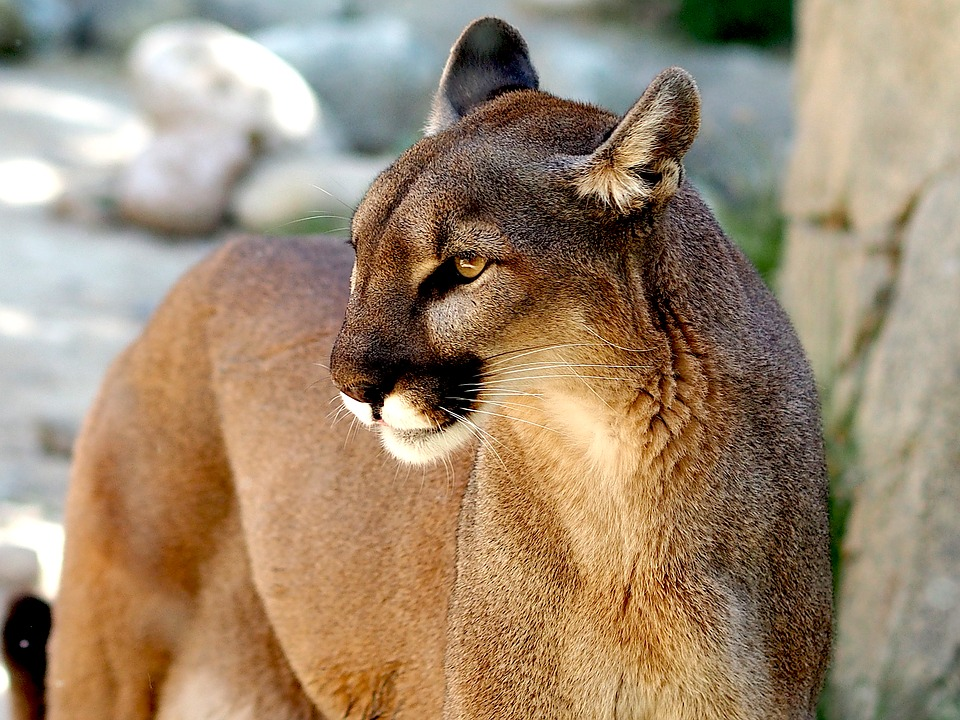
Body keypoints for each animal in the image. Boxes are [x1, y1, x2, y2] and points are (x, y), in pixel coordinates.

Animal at [15, 15, 832, 720]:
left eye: (465, 266)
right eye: (358, 248)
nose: (350, 384)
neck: (624, 475)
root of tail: (220, 256)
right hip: (109, 645)